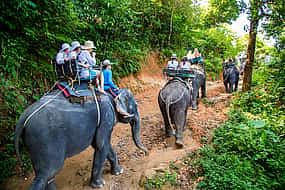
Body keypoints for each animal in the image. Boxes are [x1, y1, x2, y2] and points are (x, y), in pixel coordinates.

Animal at [14, 88, 148, 189]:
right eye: (135, 106)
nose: (146, 153)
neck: (112, 93)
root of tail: (23, 117)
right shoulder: (106, 115)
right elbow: (101, 144)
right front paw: (99, 184)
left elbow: (101, 144)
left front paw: (119, 172)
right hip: (45, 141)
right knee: (48, 172)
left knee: (48, 175)